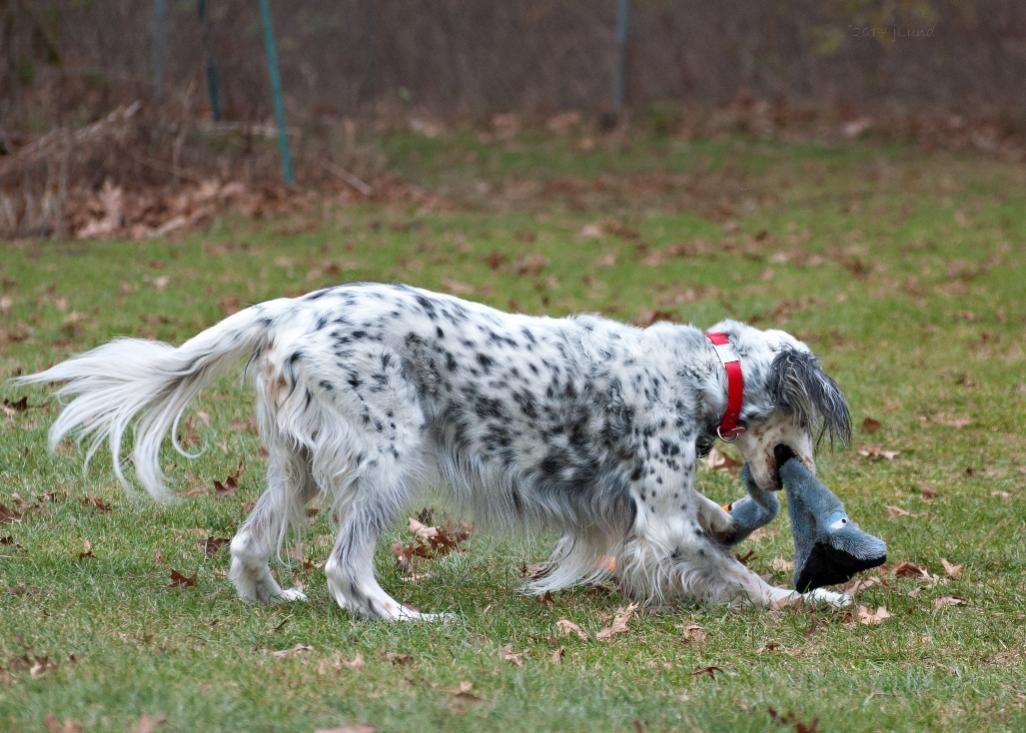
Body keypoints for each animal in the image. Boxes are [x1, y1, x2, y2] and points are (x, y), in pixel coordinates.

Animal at [20, 279, 853, 615]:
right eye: (804, 430)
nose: (799, 472)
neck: (709, 369)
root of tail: (288, 309)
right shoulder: (662, 520)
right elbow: (738, 574)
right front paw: (812, 599)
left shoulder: (646, 506)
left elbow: (712, 522)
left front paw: (736, 522)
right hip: (386, 458)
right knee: (344, 566)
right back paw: (401, 617)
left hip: (296, 468)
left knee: (248, 544)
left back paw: (275, 599)